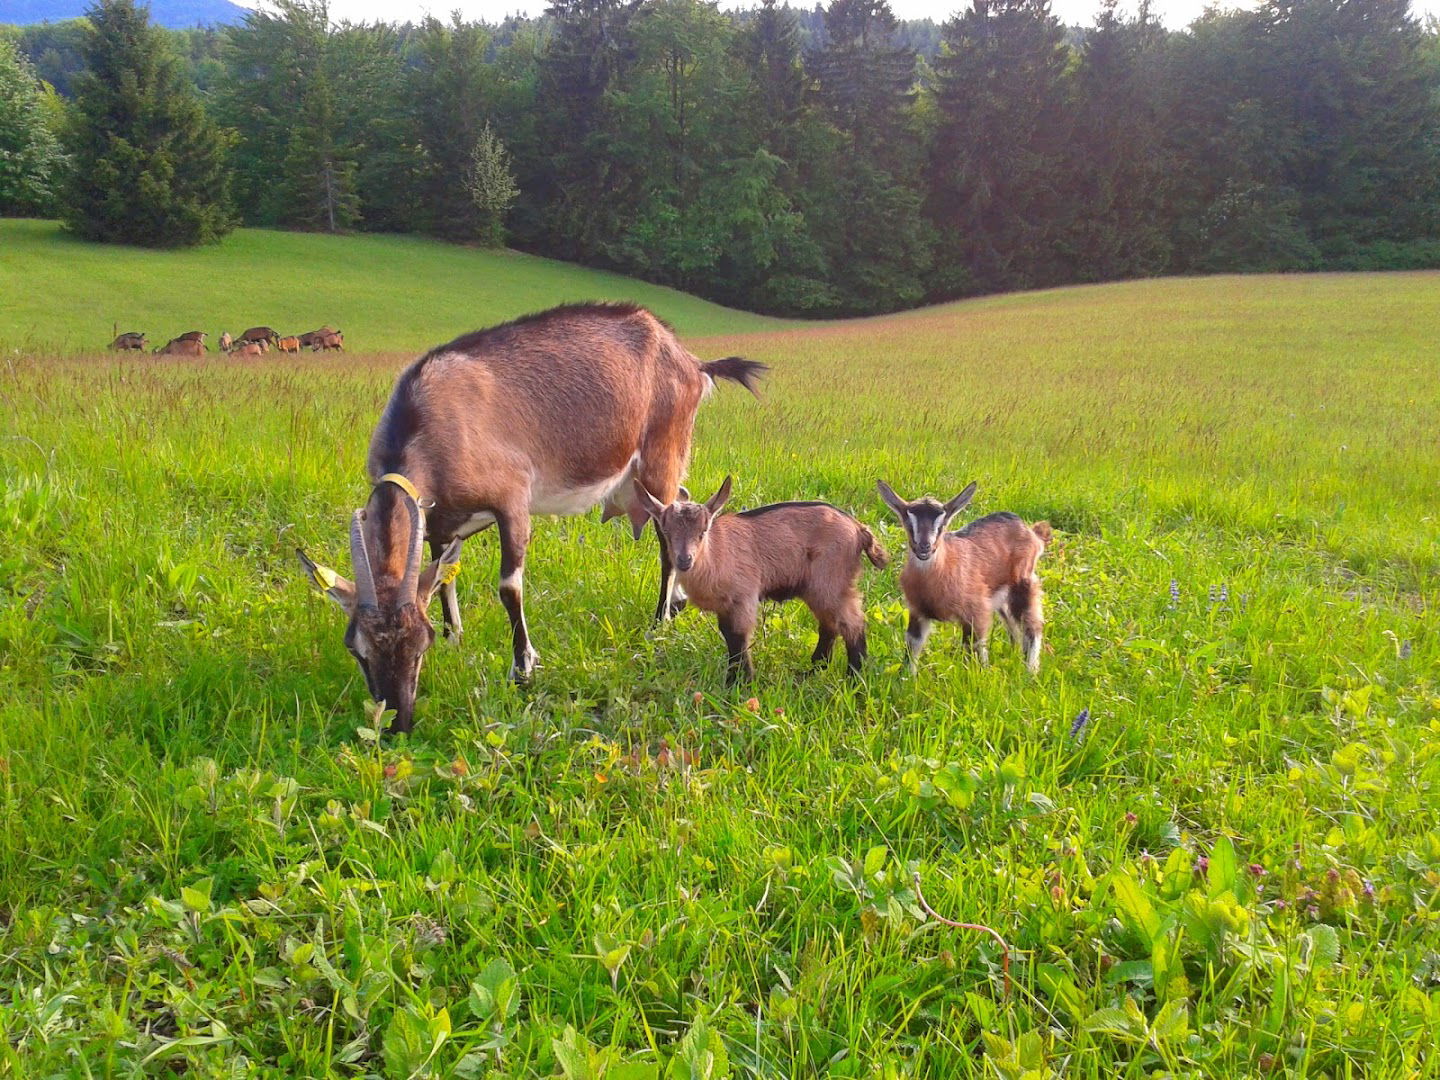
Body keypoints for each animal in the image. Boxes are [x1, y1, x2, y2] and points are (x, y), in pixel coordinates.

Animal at [292, 302, 766, 737]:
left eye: (419, 645)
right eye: (357, 649)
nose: (398, 725)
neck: (431, 422)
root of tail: (692, 362)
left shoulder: (512, 500)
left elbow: (509, 587)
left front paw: (523, 667)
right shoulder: (442, 524)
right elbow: (445, 577)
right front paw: (455, 637)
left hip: (661, 455)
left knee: (668, 537)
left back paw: (660, 620)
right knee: (681, 503)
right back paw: (678, 601)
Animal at [633, 475, 881, 679]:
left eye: (703, 531)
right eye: (667, 532)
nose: (685, 560)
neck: (716, 554)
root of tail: (859, 530)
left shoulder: (743, 596)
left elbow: (738, 636)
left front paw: (740, 681)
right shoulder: (725, 605)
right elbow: (728, 635)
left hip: (831, 580)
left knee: (852, 622)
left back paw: (853, 676)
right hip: (819, 588)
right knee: (829, 623)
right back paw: (814, 669)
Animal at [869, 478, 1054, 673]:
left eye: (942, 525)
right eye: (908, 523)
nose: (924, 547)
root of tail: (1031, 532)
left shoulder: (976, 611)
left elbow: (974, 647)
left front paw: (979, 675)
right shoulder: (918, 611)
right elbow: (912, 645)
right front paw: (908, 676)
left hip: (1024, 583)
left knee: (1032, 626)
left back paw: (1030, 671)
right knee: (1012, 625)